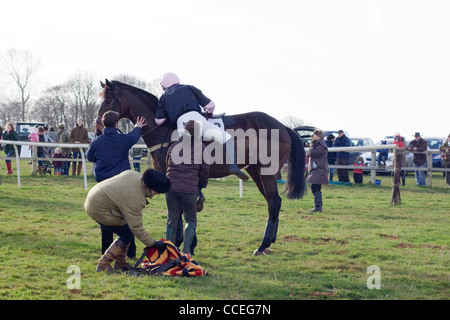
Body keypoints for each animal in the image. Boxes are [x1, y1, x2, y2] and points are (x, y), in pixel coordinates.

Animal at [96, 79, 306, 255]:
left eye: (107, 100)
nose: (99, 127)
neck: (165, 130)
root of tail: (283, 126)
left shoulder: (172, 175)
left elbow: (180, 209)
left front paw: (181, 242)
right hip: (255, 171)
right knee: (273, 202)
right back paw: (268, 242)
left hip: (266, 171)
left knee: (273, 202)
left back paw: (262, 245)